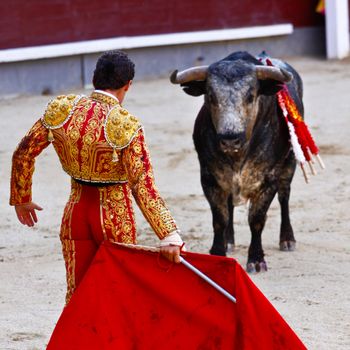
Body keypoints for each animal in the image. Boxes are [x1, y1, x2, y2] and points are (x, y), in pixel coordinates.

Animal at [170, 50, 304, 272]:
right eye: (211, 96)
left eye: (250, 96)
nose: (230, 139)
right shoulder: (209, 178)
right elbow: (220, 219)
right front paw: (218, 252)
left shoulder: (268, 180)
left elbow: (256, 220)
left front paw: (256, 259)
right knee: (230, 205)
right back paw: (229, 241)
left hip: (290, 163)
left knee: (284, 197)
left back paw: (287, 239)